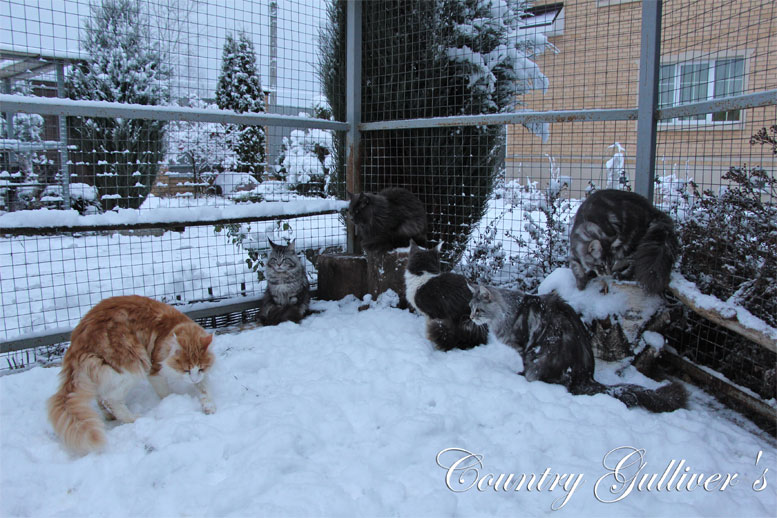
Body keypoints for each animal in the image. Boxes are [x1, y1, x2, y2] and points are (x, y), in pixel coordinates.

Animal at [47, 295, 216, 455]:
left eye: (200, 369)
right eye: (186, 370)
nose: (192, 378)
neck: (173, 328)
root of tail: (77, 341)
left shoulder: (201, 375)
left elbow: (205, 388)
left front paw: (208, 406)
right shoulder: (154, 370)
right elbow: (165, 393)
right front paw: (173, 401)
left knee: (101, 397)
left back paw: (109, 416)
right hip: (134, 363)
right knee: (111, 399)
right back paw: (134, 418)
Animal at [468, 284, 687, 413]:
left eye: (478, 310)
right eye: (470, 308)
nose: (470, 316)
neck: (509, 311)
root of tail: (586, 376)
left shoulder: (524, 347)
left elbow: (522, 365)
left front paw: (518, 375)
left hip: (541, 354)